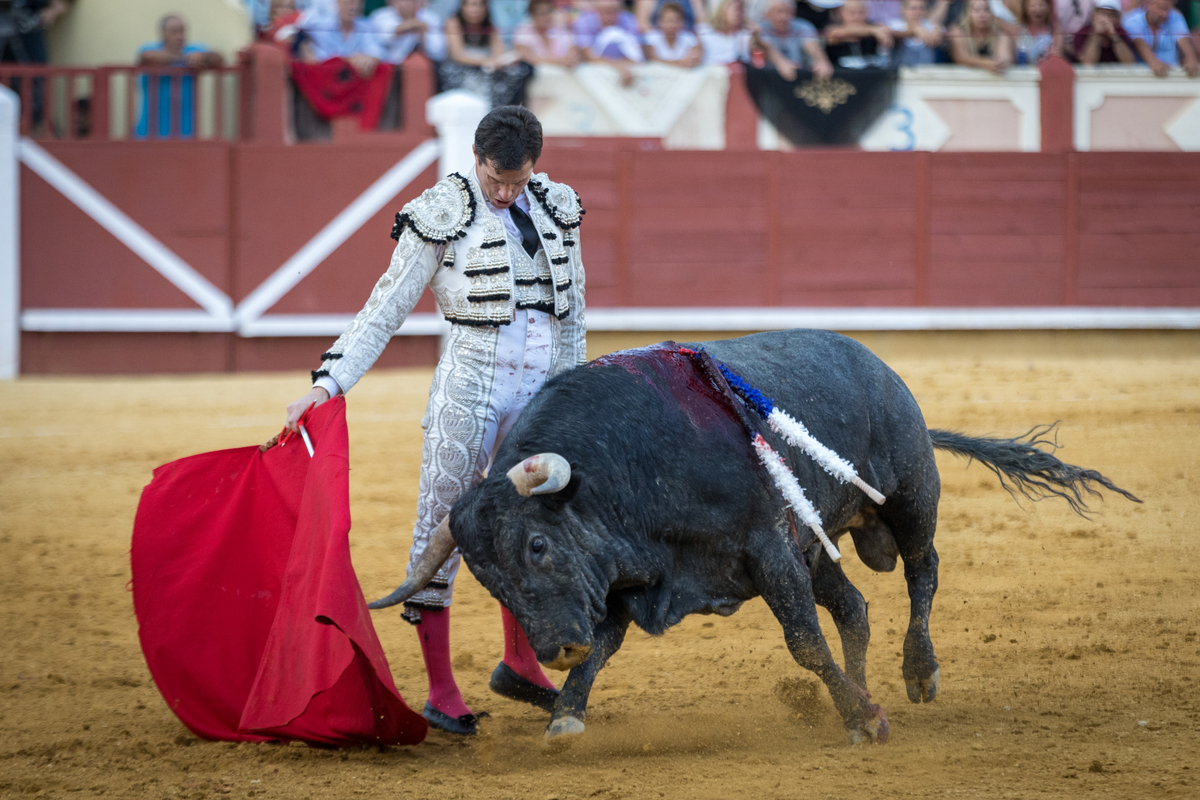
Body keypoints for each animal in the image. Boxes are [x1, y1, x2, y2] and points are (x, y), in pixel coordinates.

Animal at [369, 328, 1137, 748]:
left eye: (536, 546)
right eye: (488, 579)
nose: (557, 649)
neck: (629, 466)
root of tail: (879, 366)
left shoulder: (767, 551)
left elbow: (803, 642)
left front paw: (868, 719)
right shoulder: (624, 579)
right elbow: (607, 648)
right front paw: (564, 716)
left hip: (911, 497)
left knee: (924, 571)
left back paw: (917, 674)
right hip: (818, 543)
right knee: (855, 608)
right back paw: (860, 697)